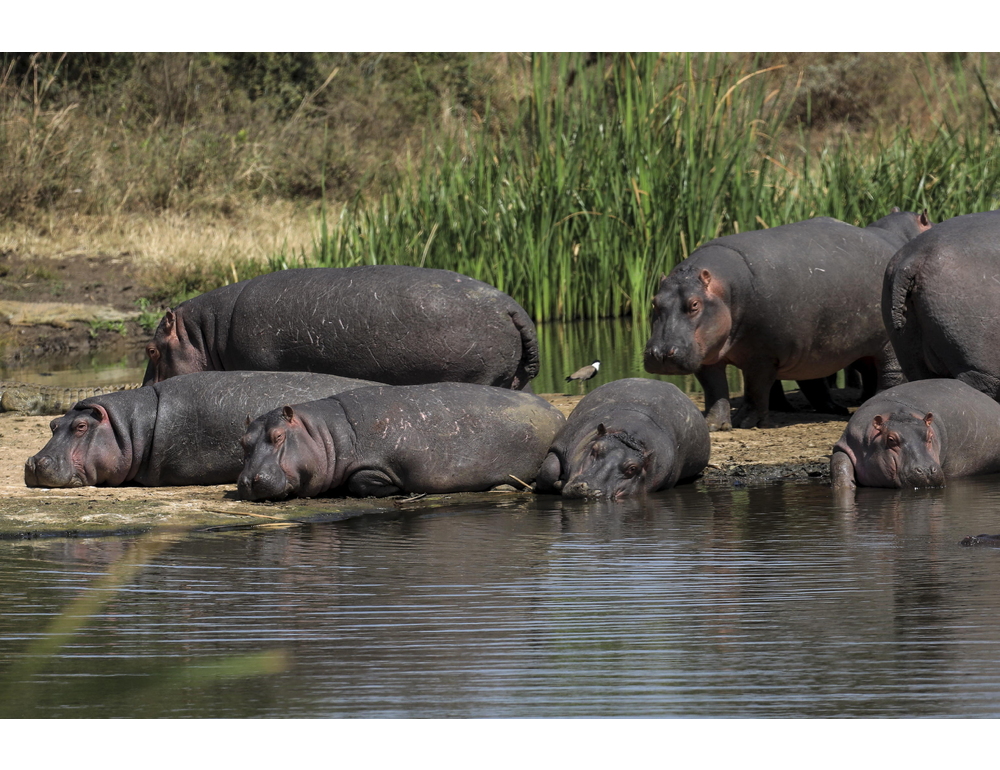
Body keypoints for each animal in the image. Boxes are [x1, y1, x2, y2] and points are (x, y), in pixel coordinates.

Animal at [237, 382, 566, 501]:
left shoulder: (377, 466)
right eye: (243, 441)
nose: (248, 481)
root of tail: (558, 412)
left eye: (279, 436)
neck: (323, 433)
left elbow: (360, 482)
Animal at [534, 378, 710, 500]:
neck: (630, 437)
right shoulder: (562, 445)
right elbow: (549, 470)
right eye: (595, 449)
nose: (589, 490)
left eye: (632, 468)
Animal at [643, 209, 931, 430]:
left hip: (884, 343)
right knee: (818, 382)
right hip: (818, 350)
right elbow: (715, 390)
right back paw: (837, 408)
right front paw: (713, 425)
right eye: (654, 302)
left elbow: (755, 389)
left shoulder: (761, 357)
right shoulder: (706, 355)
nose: (660, 354)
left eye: (694, 305)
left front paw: (745, 422)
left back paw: (875, 401)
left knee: (889, 372)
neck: (724, 290)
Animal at [830, 379, 1000, 490]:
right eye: (891, 440)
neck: (897, 414)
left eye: (930, 436)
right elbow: (840, 466)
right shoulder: (847, 442)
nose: (926, 470)